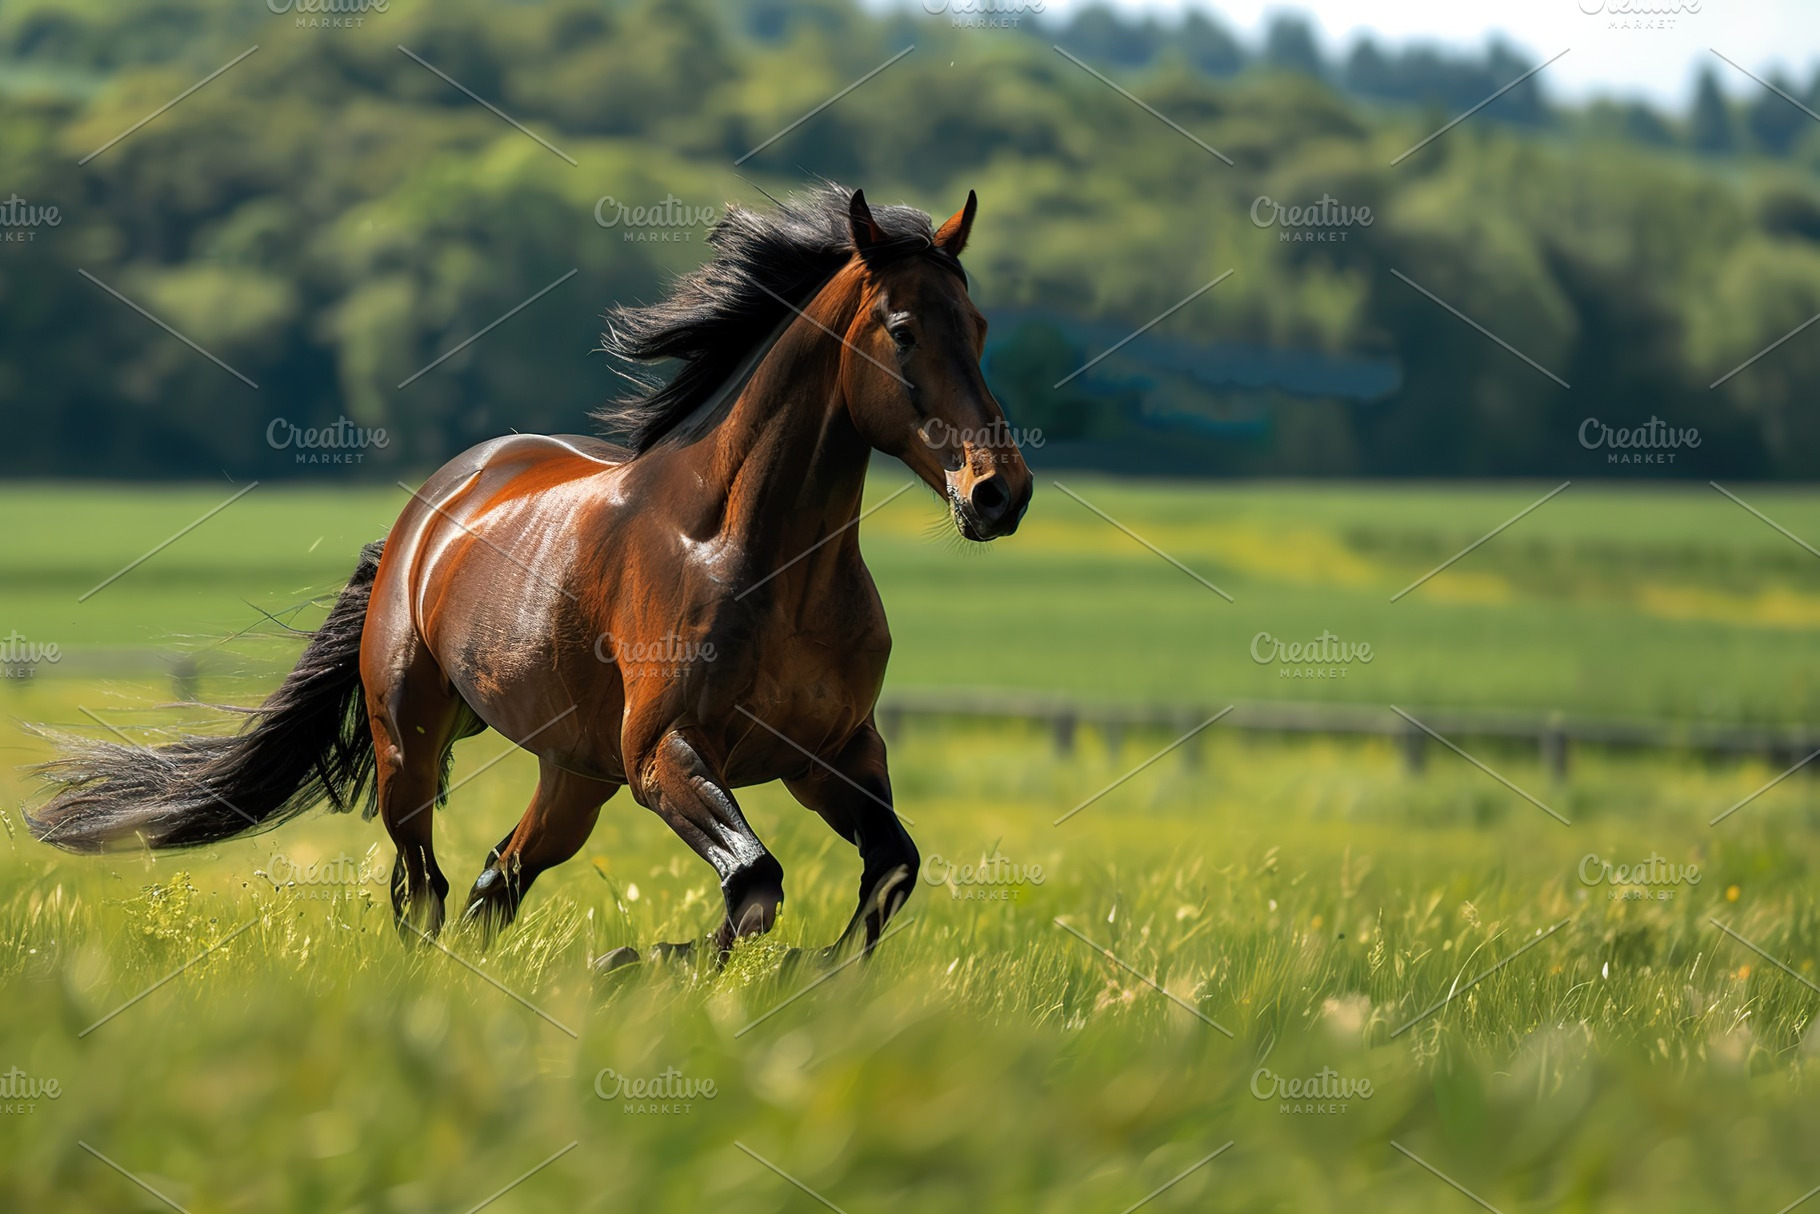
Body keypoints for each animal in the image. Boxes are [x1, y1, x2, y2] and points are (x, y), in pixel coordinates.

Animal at [28, 186, 1034, 965]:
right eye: (901, 330)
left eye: (981, 326)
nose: (998, 493)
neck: (755, 559)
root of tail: (424, 516)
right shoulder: (662, 755)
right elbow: (755, 885)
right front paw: (632, 964)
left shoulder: (832, 754)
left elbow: (888, 872)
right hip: (411, 747)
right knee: (426, 888)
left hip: (573, 776)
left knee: (493, 880)